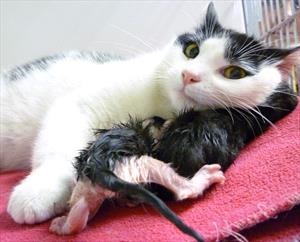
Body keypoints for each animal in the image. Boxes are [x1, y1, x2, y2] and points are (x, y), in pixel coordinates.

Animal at [1, 2, 298, 225]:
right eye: (192, 50)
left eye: (234, 73)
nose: (189, 75)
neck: (161, 105)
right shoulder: (77, 102)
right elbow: (59, 143)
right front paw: (39, 190)